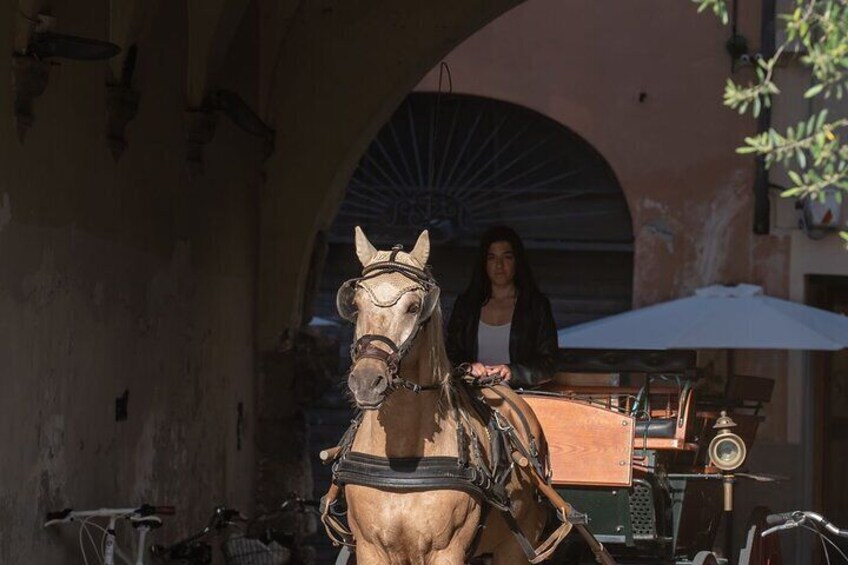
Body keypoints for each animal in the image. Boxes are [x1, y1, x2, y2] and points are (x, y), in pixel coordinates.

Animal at [322, 228, 580, 564]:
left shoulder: (447, 550)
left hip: (514, 548)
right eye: (357, 303)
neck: (403, 461)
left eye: (414, 307)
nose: (366, 381)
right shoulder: (370, 548)